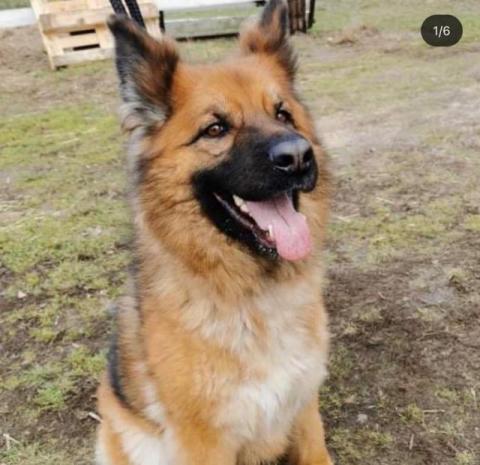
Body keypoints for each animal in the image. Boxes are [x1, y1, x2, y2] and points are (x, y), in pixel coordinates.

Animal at [96, 1, 332, 464]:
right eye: (216, 129)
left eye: (283, 114)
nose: (298, 157)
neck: (255, 296)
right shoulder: (204, 442)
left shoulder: (304, 406)